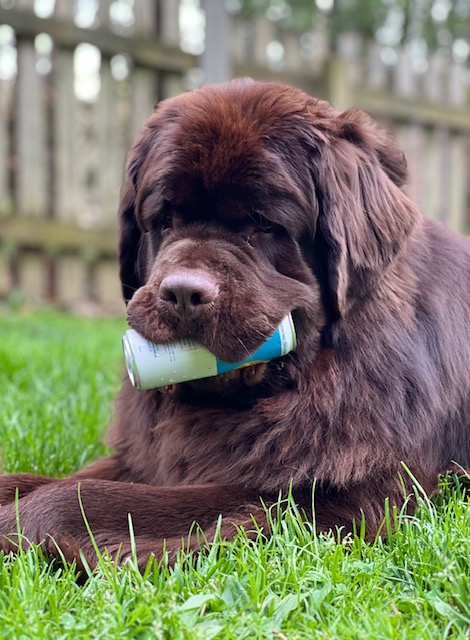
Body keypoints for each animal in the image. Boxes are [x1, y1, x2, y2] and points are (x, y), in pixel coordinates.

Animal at [0, 81, 470, 568]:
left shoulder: (339, 492)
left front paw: (20, 521)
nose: (183, 293)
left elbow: (88, 498)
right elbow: (47, 479)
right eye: (165, 220)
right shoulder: (143, 454)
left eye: (262, 223)